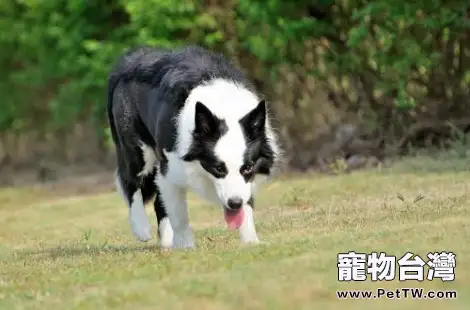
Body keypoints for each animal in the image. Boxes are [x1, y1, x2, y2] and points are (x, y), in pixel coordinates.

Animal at [106, 45, 280, 249]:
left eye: (248, 167)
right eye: (218, 168)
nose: (234, 203)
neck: (223, 106)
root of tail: (130, 59)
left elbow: (247, 207)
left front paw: (250, 241)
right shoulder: (170, 169)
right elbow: (180, 215)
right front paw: (186, 246)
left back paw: (167, 243)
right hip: (137, 151)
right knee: (131, 182)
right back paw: (141, 228)